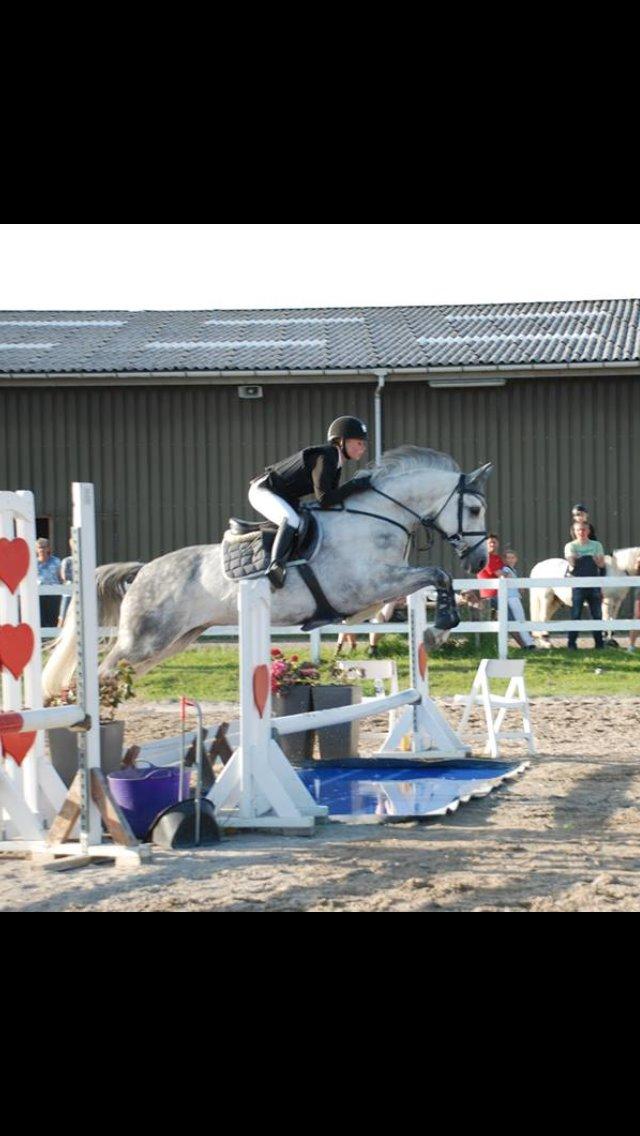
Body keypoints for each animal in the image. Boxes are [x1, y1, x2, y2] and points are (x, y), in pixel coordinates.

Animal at [43, 445, 491, 699]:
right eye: (473, 509)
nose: (480, 563)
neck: (378, 514)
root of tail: (142, 571)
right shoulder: (366, 585)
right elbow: (437, 574)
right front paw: (438, 629)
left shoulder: (378, 591)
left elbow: (427, 583)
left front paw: (436, 631)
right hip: (144, 640)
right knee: (99, 674)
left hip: (174, 641)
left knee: (114, 676)